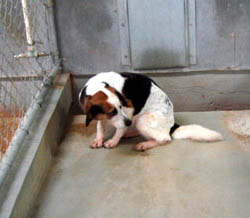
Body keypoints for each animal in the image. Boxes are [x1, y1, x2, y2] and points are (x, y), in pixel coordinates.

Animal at [78, 72, 223, 151]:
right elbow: (100, 126)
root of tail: (172, 126)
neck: (97, 85)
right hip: (138, 120)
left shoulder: (128, 111)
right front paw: (98, 139)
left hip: (143, 120)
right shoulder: (102, 116)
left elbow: (119, 129)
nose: (128, 123)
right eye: (112, 112)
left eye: (121, 106)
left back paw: (145, 144)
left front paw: (113, 141)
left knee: (165, 138)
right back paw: (131, 133)